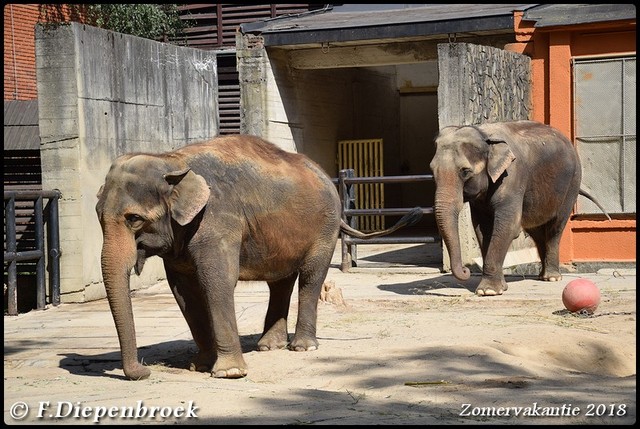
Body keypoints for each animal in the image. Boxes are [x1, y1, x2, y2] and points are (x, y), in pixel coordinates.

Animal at [96, 133, 420, 378]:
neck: (171, 160)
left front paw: (228, 373)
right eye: (98, 216)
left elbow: (217, 282)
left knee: (311, 276)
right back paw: (269, 346)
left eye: (134, 219)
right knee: (281, 282)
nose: (145, 371)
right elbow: (183, 291)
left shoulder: (218, 220)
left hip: (324, 227)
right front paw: (200, 366)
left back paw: (302, 347)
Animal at [430, 118, 608, 296]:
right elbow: (483, 229)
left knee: (555, 228)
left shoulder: (513, 176)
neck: (484, 134)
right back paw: (542, 276)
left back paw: (552, 278)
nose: (466, 270)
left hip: (572, 184)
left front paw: (488, 291)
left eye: (465, 171)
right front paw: (498, 287)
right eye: (432, 170)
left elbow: (508, 225)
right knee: (537, 231)